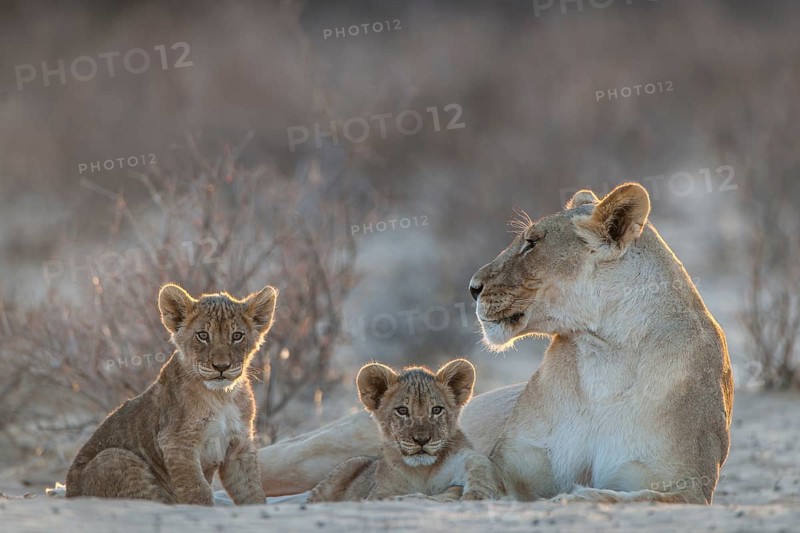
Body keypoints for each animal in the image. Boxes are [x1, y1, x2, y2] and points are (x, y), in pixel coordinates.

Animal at [65, 283, 278, 505]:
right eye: (203, 335)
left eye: (237, 336)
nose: (221, 367)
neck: (222, 396)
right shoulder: (176, 442)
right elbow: (196, 491)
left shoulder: (239, 445)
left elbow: (251, 490)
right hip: (114, 458)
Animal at [308, 359, 497, 502]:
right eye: (402, 410)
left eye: (436, 410)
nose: (422, 440)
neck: (422, 471)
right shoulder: (377, 493)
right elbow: (390, 497)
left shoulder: (462, 456)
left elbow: (478, 462)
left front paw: (476, 494)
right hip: (346, 468)